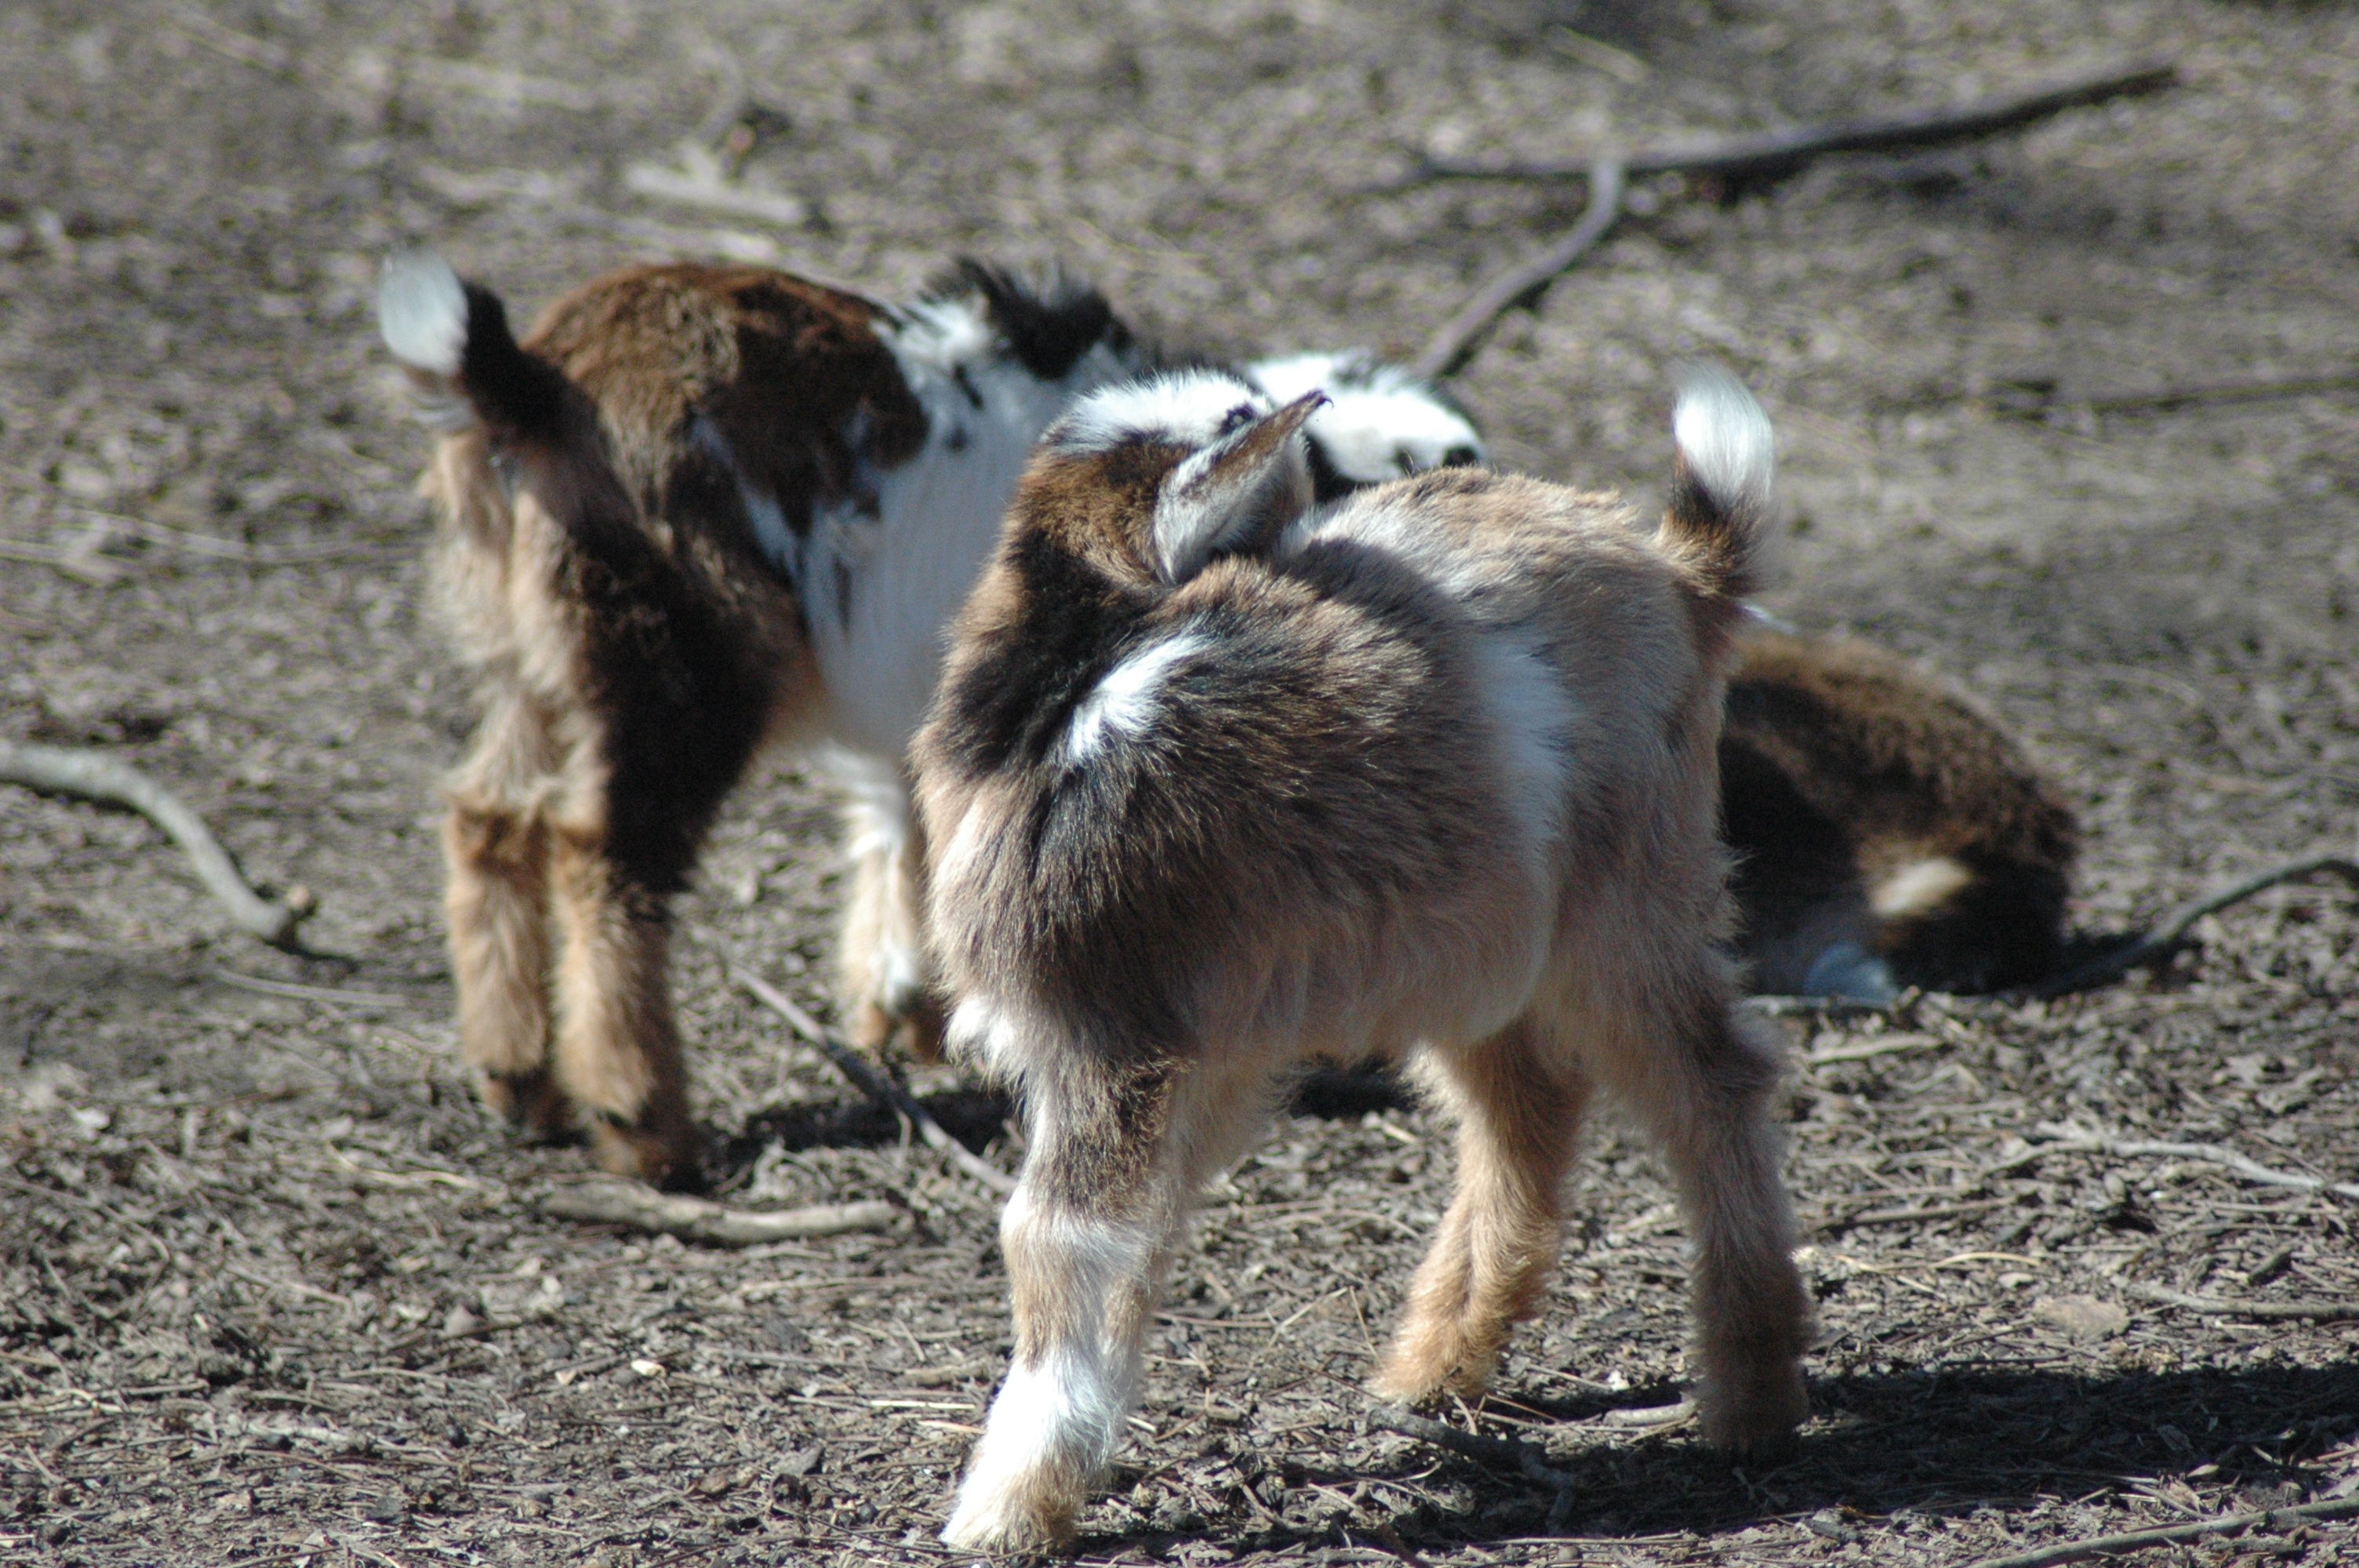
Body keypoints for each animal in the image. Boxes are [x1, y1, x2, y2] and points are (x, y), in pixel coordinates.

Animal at [376, 251, 1487, 1187]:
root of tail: (528, 381)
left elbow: (903, 828)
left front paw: (903, 1007)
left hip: (535, 662)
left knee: (488, 815)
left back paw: (519, 1079)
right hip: (675, 663)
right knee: (603, 854)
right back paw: (645, 1124)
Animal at [912, 365, 1813, 1550]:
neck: (1071, 688)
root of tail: (1678, 572)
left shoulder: (1107, 1031)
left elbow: (1056, 1239)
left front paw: (1006, 1510)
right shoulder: (1205, 1054)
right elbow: (1142, 1243)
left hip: (1625, 897)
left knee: (1710, 1080)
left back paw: (1750, 1398)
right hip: (1471, 941)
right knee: (1526, 1106)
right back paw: (1432, 1368)